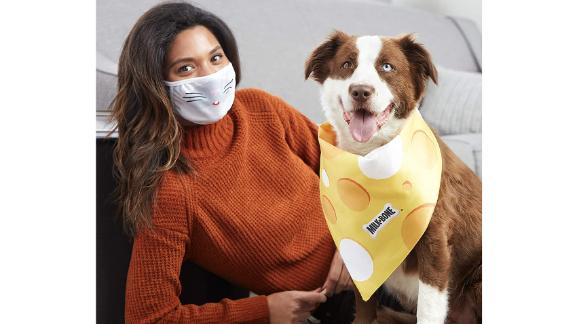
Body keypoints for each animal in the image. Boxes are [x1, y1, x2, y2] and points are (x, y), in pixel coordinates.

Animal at [306, 31, 482, 324]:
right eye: (347, 64)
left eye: (387, 67)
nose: (360, 91)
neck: (371, 155)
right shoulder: (360, 258)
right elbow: (365, 309)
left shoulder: (435, 241)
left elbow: (428, 310)